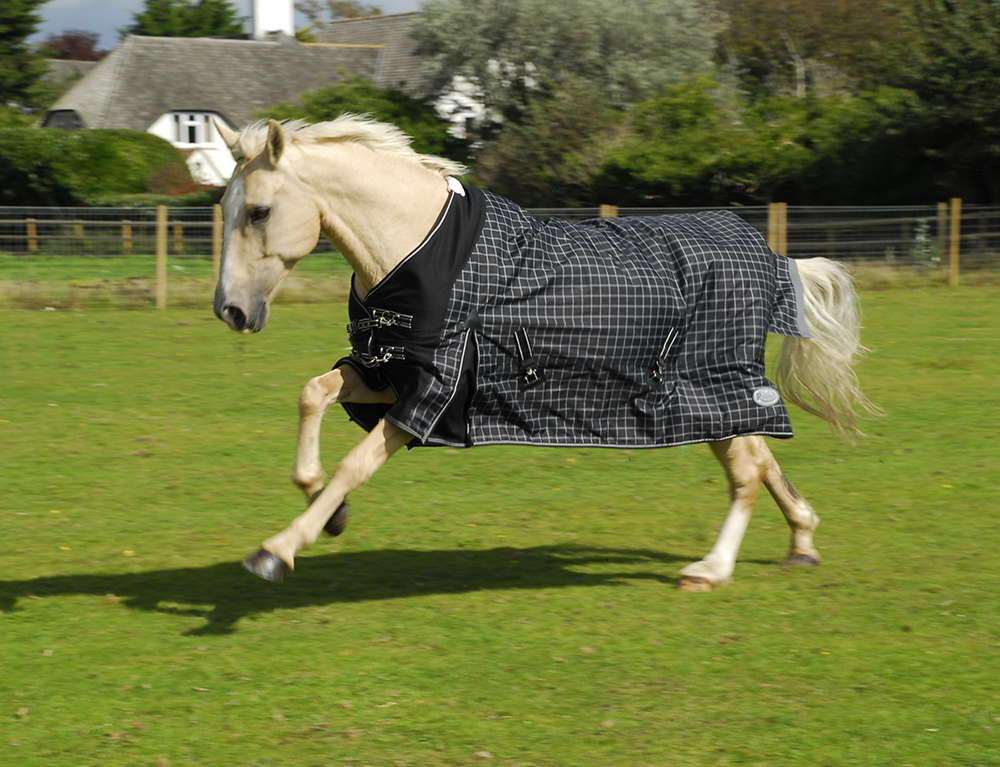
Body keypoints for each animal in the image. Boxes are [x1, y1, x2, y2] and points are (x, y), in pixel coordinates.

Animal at [211, 116, 875, 592]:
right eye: (225, 208)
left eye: (260, 210)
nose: (231, 311)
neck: (420, 249)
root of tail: (770, 255)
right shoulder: (388, 373)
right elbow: (313, 394)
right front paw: (330, 510)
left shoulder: (434, 395)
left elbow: (355, 464)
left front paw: (278, 549)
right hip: (712, 400)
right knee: (761, 458)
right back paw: (802, 544)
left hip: (705, 388)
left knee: (746, 472)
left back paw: (711, 570)